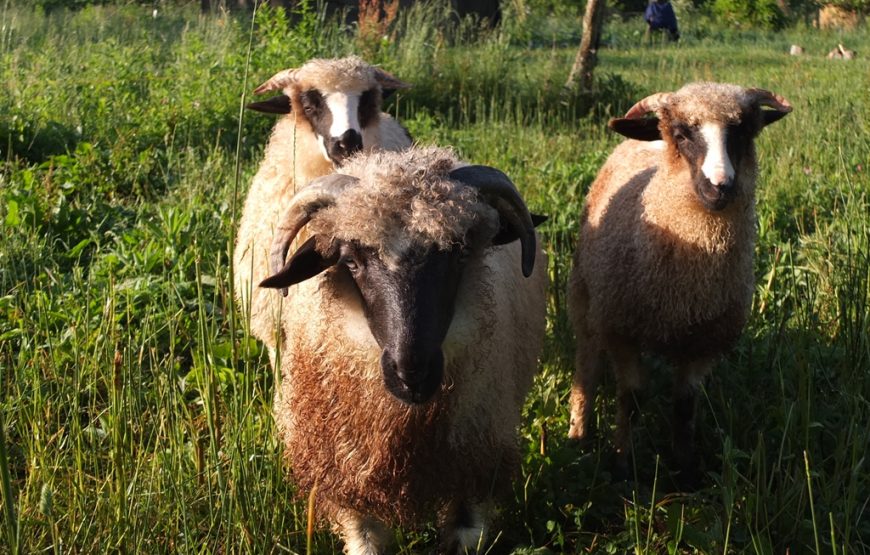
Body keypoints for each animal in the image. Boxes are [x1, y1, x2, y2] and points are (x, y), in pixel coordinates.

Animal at [568, 82, 792, 482]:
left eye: (742, 131)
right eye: (682, 134)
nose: (720, 186)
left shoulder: (703, 342)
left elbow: (685, 404)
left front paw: (685, 468)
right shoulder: (621, 329)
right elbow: (632, 395)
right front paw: (623, 463)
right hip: (585, 296)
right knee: (587, 365)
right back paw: (578, 432)